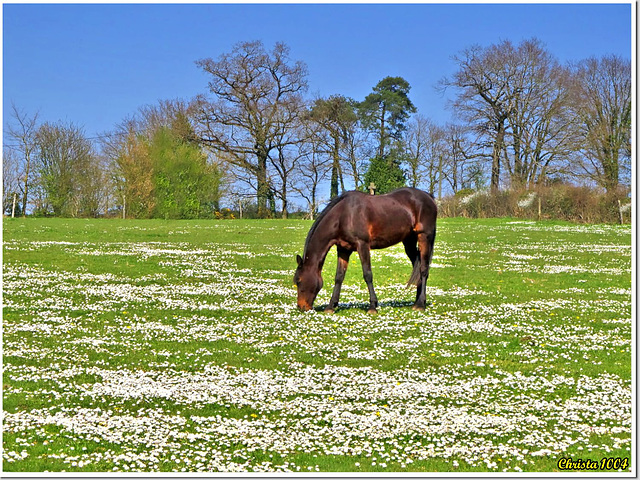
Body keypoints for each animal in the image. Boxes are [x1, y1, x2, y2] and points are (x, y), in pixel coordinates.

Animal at [294, 188, 436, 316]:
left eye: (299, 281)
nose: (301, 307)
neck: (344, 215)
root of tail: (429, 197)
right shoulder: (343, 249)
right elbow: (339, 277)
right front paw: (331, 306)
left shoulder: (362, 245)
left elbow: (367, 274)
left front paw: (372, 306)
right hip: (409, 241)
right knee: (417, 267)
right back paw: (417, 301)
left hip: (424, 237)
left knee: (423, 269)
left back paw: (420, 304)